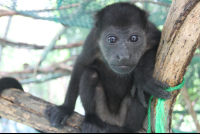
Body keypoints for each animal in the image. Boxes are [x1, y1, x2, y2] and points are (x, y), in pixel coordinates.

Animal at [44, 2, 171, 132]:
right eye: (112, 39)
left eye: (134, 38)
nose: (124, 56)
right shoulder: (92, 39)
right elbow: (81, 64)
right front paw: (65, 108)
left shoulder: (151, 32)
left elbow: (159, 46)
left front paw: (142, 77)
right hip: (103, 113)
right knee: (90, 74)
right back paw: (92, 120)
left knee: (138, 93)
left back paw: (127, 128)